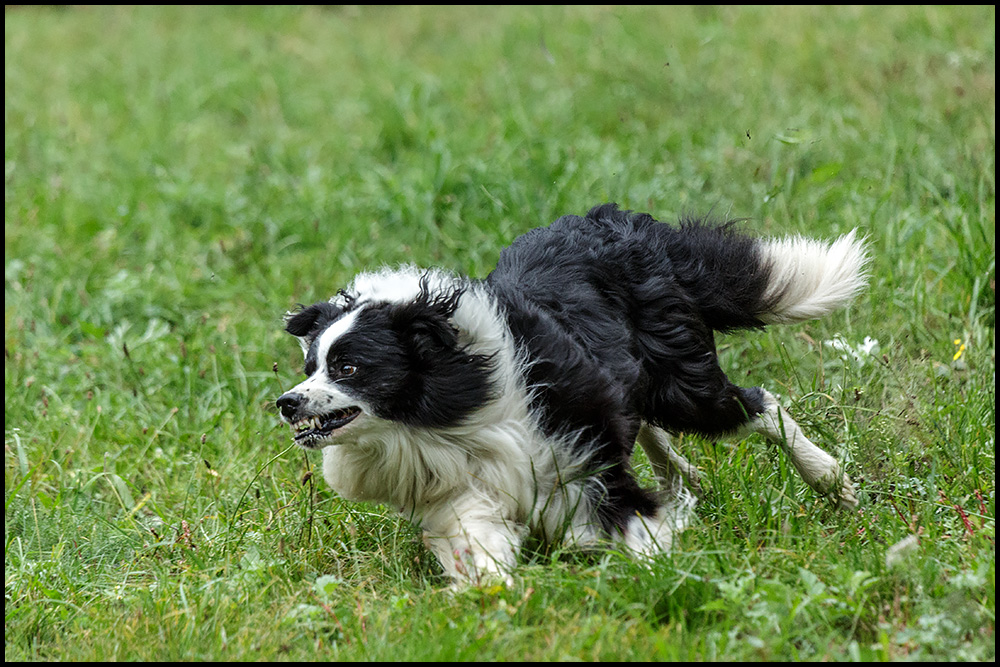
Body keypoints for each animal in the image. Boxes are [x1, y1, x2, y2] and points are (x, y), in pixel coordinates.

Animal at [276, 204, 868, 584]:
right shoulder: (468, 487)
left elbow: (633, 521)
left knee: (758, 405)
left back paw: (833, 483)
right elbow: (480, 546)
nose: (286, 402)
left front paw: (662, 569)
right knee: (648, 420)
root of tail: (621, 225)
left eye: (349, 367)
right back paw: (685, 478)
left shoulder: (579, 459)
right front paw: (496, 599)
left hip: (681, 383)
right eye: (310, 365)